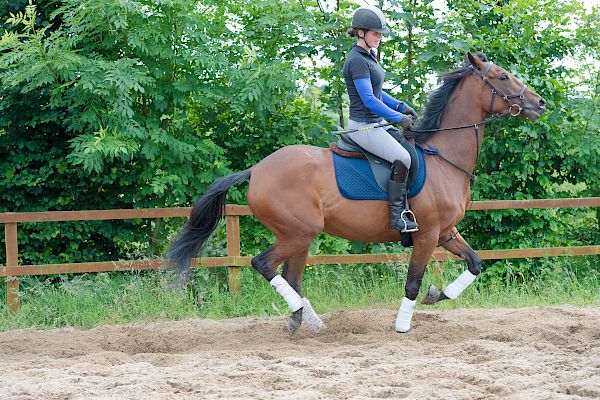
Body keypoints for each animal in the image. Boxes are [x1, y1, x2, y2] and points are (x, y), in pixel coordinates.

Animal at [166, 52, 548, 334]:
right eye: (503, 77)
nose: (540, 103)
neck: (444, 158)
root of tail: (257, 170)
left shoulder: (446, 232)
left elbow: (475, 263)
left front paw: (437, 294)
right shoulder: (426, 235)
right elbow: (412, 283)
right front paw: (403, 326)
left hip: (299, 236)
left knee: (292, 277)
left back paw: (307, 322)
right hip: (300, 232)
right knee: (264, 265)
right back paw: (303, 316)